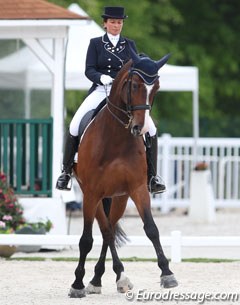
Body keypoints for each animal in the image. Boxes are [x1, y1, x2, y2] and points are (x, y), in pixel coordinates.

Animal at [69, 51, 178, 296]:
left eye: (156, 88)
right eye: (135, 85)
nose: (141, 128)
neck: (116, 137)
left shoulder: (137, 188)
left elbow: (151, 229)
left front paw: (167, 274)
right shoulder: (91, 193)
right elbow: (86, 239)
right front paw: (77, 284)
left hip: (119, 197)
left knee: (108, 231)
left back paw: (109, 278)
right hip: (95, 196)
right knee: (106, 231)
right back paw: (97, 279)